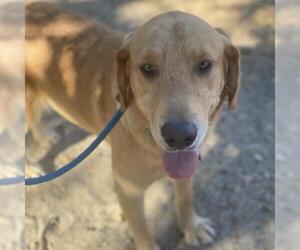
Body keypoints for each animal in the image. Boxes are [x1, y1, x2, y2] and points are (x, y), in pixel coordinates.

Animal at [26, 2, 239, 250]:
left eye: (205, 64)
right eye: (147, 68)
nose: (178, 136)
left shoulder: (187, 169)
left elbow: (185, 198)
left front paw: (191, 227)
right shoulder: (129, 190)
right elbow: (142, 232)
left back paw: (43, 138)